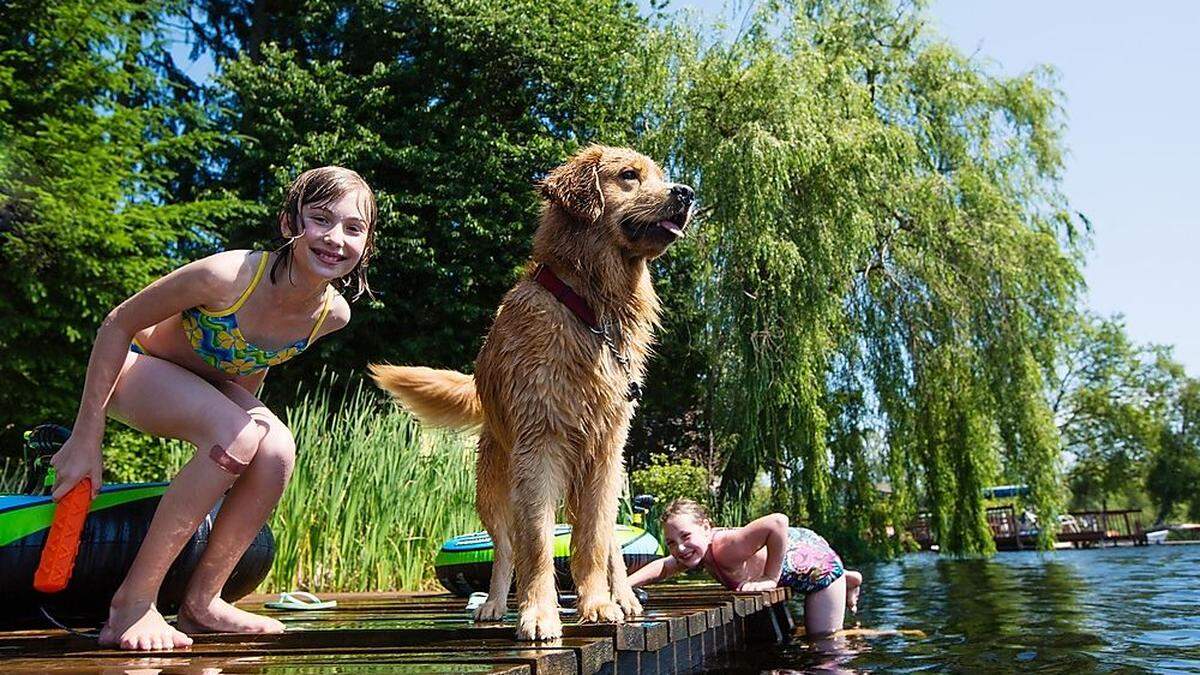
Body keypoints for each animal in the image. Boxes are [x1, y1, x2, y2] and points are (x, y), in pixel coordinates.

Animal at [374, 144, 696, 638]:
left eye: (661, 176)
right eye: (629, 176)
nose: (687, 192)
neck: (590, 308)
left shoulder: (605, 453)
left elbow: (592, 544)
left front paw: (598, 605)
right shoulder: (539, 445)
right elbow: (537, 545)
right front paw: (539, 613)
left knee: (609, 543)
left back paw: (623, 598)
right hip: (492, 487)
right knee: (505, 548)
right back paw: (493, 605)